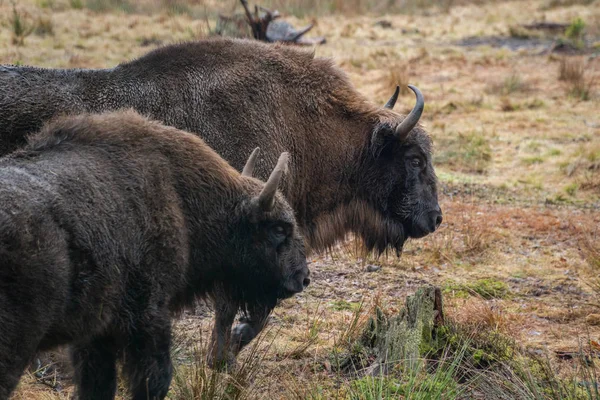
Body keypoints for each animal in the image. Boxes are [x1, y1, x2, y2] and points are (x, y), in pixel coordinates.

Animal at [0, 110, 310, 400]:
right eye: (279, 228)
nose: (302, 277)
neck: (179, 196)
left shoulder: (96, 335)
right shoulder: (148, 316)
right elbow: (154, 380)